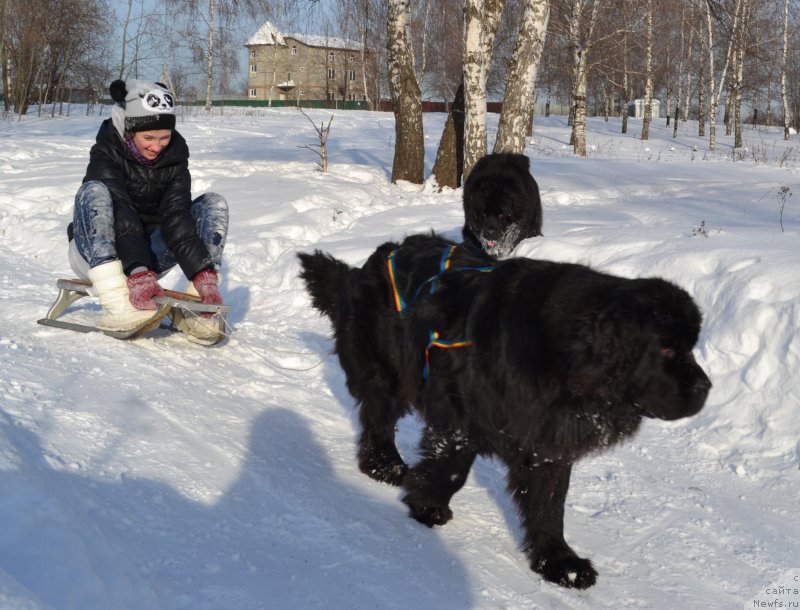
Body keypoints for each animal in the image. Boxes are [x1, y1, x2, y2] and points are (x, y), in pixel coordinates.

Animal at [298, 230, 712, 588]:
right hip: (387, 367)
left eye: (691, 347)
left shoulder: (548, 436)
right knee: (379, 414)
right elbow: (452, 467)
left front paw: (559, 562)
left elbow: (550, 503)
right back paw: (384, 464)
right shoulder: (460, 410)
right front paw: (427, 505)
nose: (705, 387)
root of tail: (371, 261)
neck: (560, 357)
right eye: (666, 348)